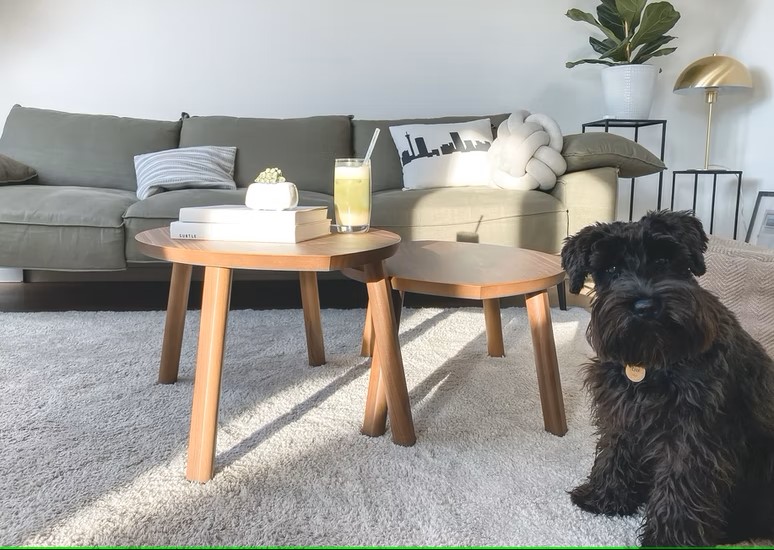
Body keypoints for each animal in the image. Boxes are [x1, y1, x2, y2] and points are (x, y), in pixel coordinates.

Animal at [560, 210, 774, 548]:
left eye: (664, 260)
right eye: (611, 269)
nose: (645, 306)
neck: (652, 360)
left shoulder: (691, 433)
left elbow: (681, 482)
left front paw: (670, 538)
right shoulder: (620, 412)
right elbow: (614, 451)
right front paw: (604, 496)